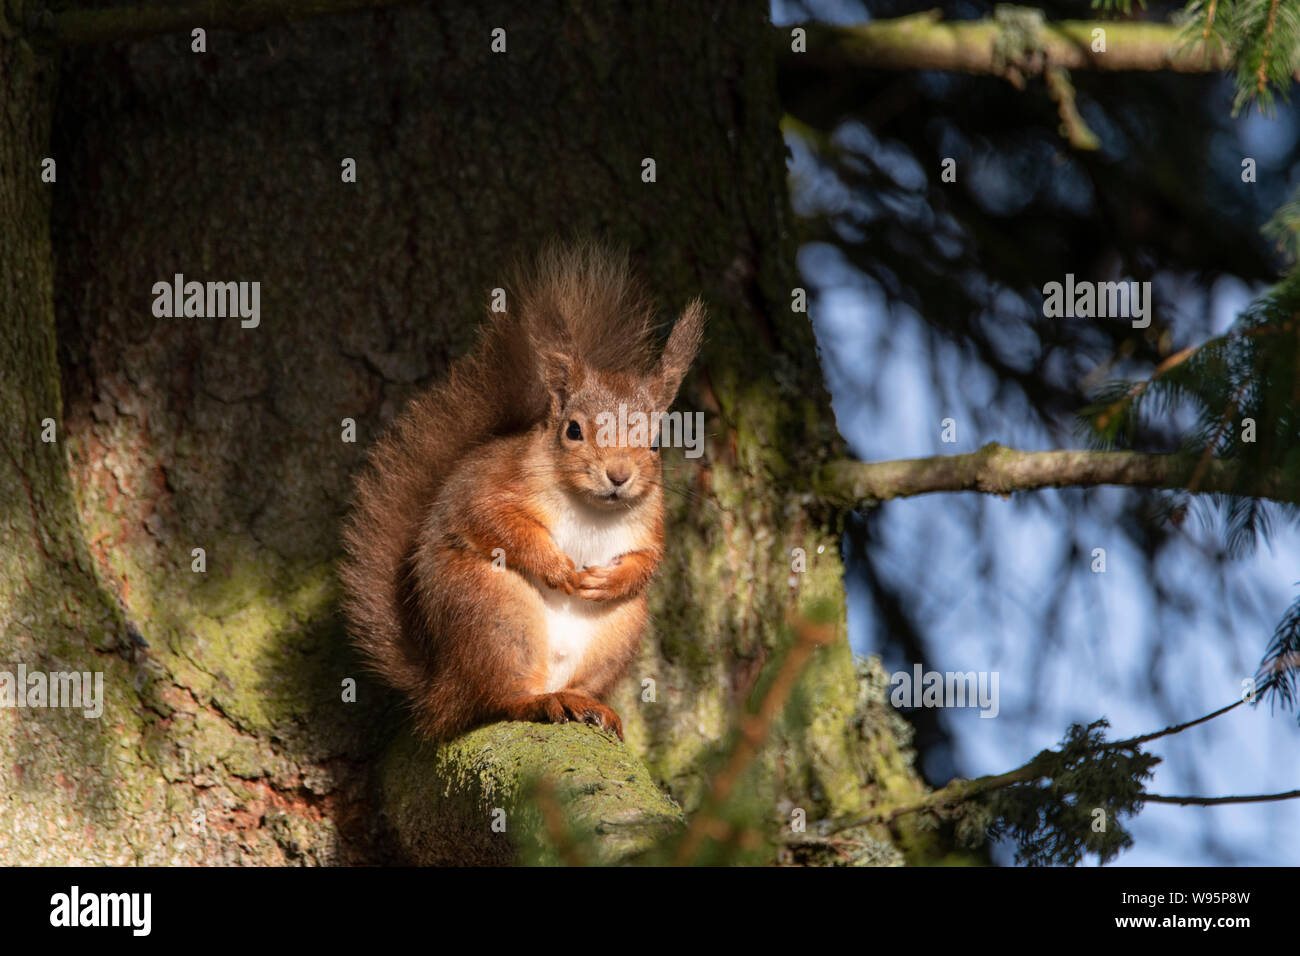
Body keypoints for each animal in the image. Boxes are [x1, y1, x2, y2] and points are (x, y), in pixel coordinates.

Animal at [335, 243, 702, 743]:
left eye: (655, 443)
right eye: (573, 430)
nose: (619, 475)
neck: (590, 508)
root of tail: (440, 689)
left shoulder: (650, 520)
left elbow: (648, 559)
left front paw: (606, 580)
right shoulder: (495, 485)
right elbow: (494, 521)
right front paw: (559, 567)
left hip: (619, 628)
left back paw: (586, 703)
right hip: (495, 611)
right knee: (493, 699)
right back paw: (538, 700)